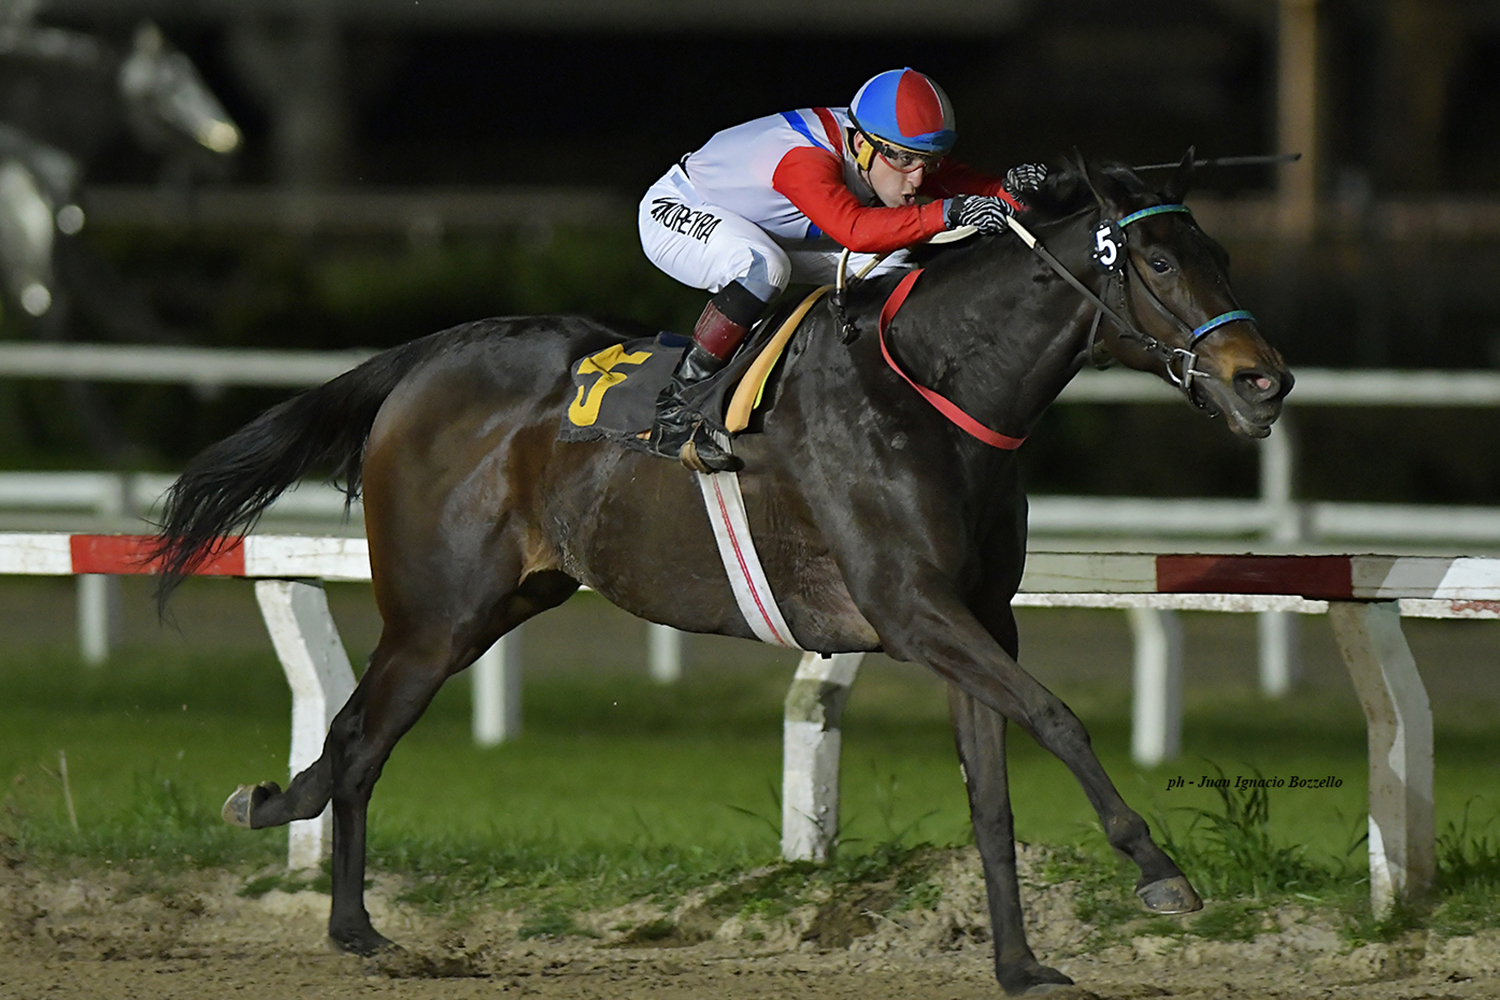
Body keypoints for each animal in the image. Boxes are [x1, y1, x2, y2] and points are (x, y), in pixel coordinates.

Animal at [151, 154, 1291, 996]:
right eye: (1154, 261)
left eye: (1223, 252)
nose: (1264, 381)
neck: (933, 390)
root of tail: (423, 359)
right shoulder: (912, 609)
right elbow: (1059, 718)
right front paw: (1160, 873)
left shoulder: (976, 620)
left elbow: (993, 795)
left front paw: (1019, 964)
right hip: (437, 612)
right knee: (359, 740)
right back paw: (353, 928)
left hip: (502, 600)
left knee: (354, 737)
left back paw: (289, 827)